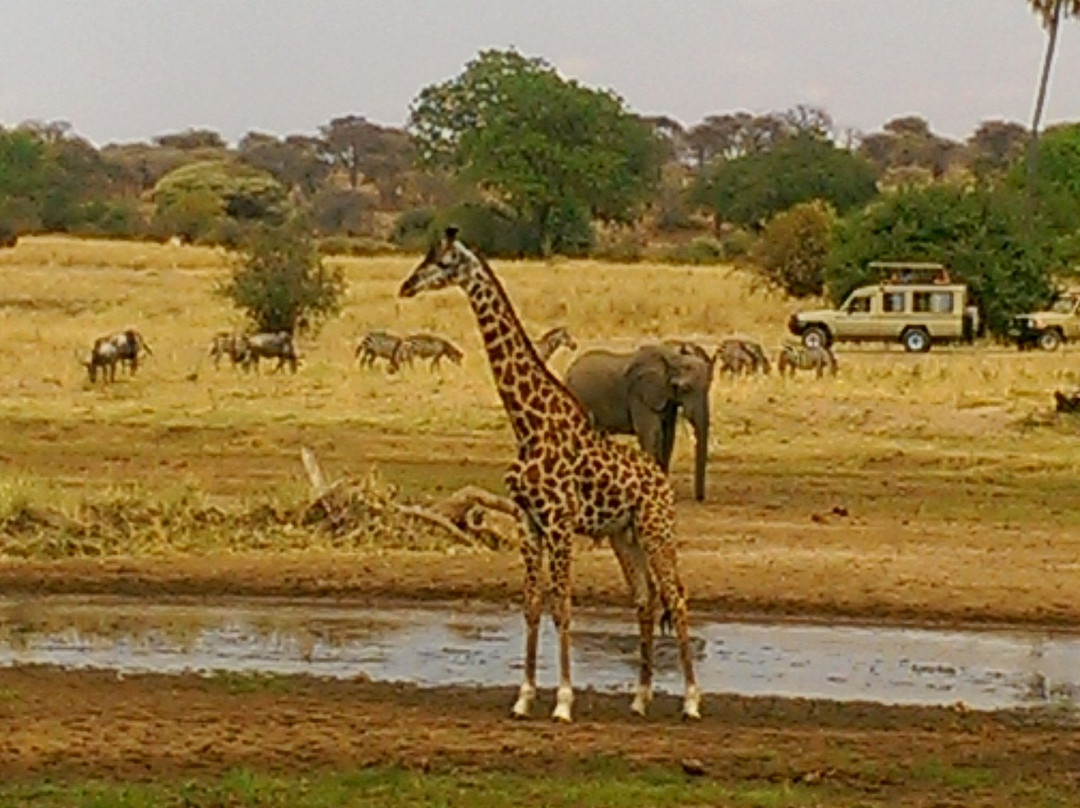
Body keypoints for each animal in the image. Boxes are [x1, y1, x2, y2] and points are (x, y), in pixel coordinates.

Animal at [561, 339, 712, 499]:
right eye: (686, 389)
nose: (700, 498)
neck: (673, 359)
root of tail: (568, 371)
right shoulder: (640, 394)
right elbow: (651, 434)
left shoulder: (666, 400)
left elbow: (668, 436)